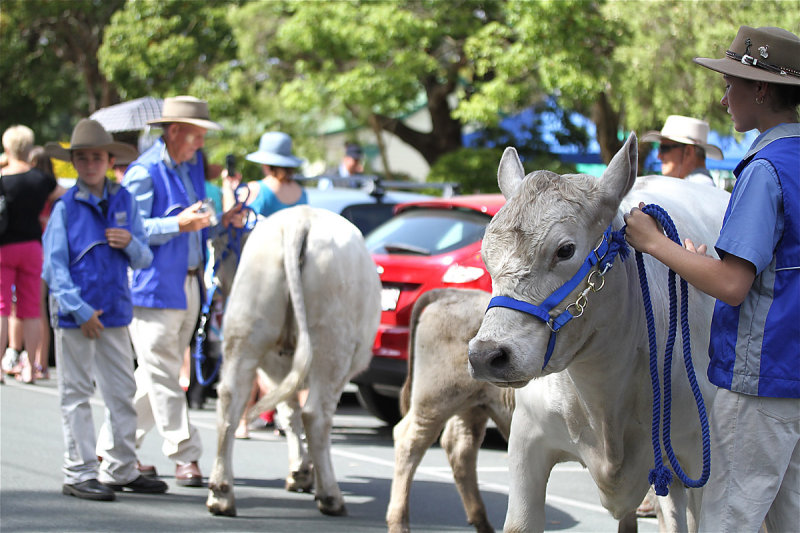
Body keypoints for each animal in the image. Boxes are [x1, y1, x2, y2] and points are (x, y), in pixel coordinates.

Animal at [206, 206, 382, 516]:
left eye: (219, 247)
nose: (213, 284)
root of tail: (300, 219)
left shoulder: (277, 367)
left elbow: (289, 415)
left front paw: (300, 472)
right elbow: (298, 415)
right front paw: (307, 473)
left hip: (245, 333)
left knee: (229, 400)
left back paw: (221, 493)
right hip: (332, 347)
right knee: (316, 415)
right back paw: (331, 497)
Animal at [388, 286, 512, 532]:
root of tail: (453, 293)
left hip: (473, 405)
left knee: (460, 447)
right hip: (435, 400)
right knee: (410, 441)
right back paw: (399, 523)